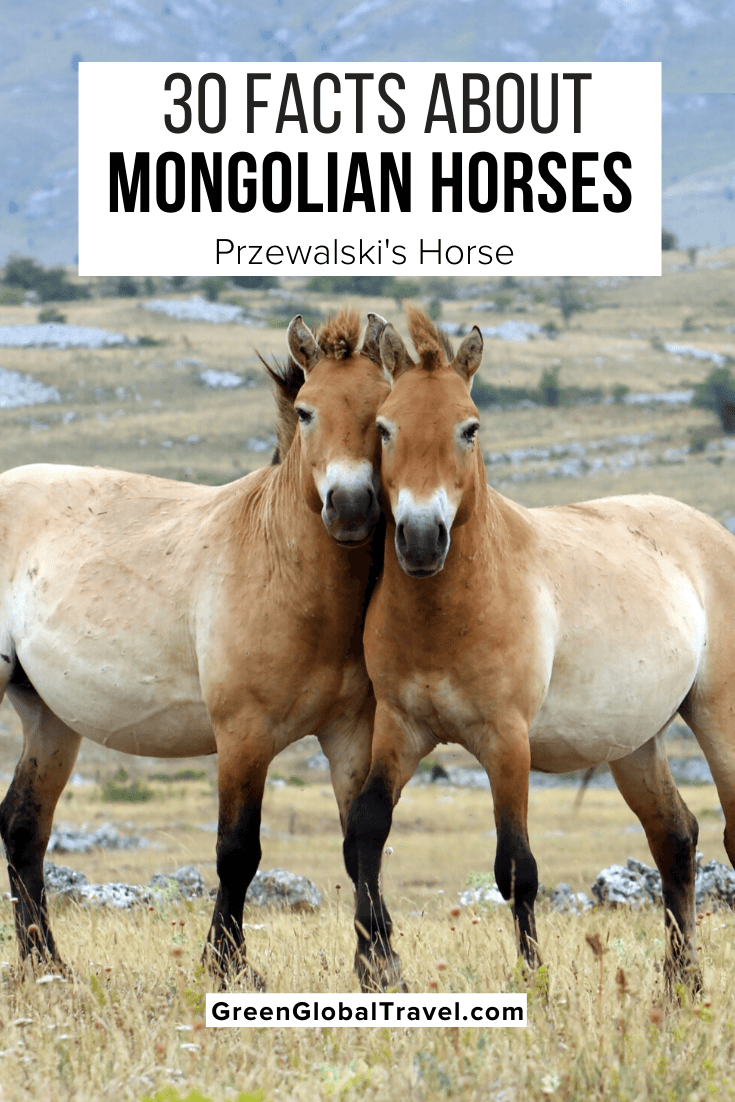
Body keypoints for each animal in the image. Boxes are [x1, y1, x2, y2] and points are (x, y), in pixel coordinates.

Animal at [0, 308, 390, 983]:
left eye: (382, 411)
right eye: (307, 411)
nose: (349, 507)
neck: (283, 568)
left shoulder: (350, 732)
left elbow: (360, 842)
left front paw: (380, 967)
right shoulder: (243, 734)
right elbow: (237, 850)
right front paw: (227, 966)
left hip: (49, 718)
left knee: (23, 826)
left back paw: (47, 962)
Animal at [345, 305, 735, 995]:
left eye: (469, 428)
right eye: (385, 429)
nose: (420, 540)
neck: (450, 615)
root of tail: (712, 531)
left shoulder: (507, 742)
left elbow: (516, 868)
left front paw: (535, 981)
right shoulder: (402, 727)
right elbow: (368, 826)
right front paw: (375, 969)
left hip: (717, 716)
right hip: (634, 744)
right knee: (675, 837)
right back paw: (680, 983)